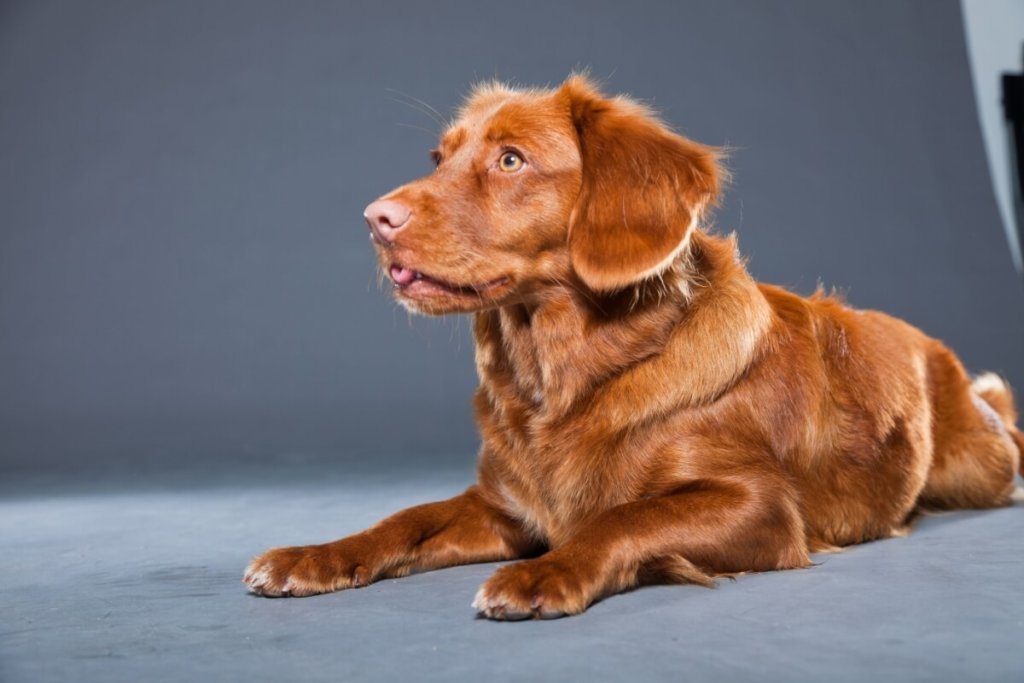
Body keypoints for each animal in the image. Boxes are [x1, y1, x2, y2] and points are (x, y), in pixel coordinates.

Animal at [241, 74, 1024, 618]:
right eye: (438, 158)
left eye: (511, 161)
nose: (376, 218)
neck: (557, 376)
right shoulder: (504, 508)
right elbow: (403, 519)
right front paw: (313, 557)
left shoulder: (761, 507)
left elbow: (625, 514)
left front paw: (545, 572)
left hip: (978, 465)